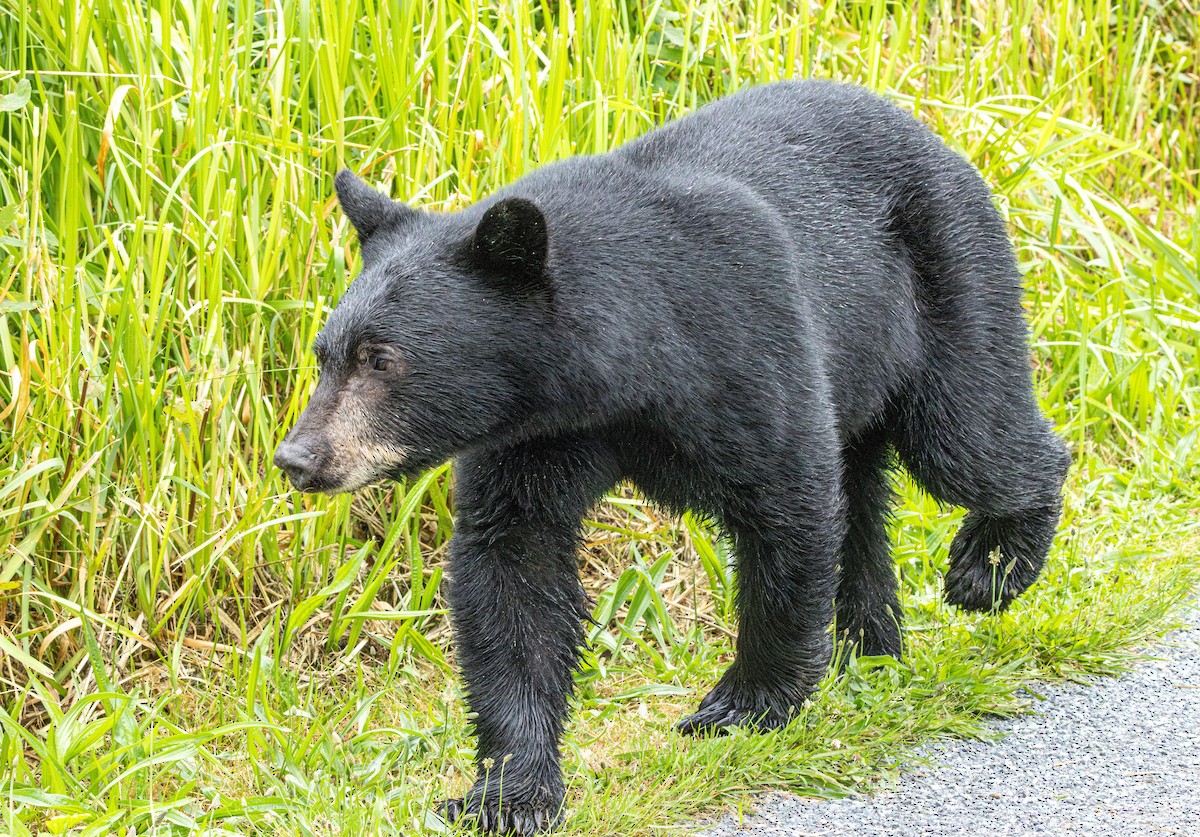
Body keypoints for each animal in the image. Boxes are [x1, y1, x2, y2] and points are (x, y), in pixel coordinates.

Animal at [273, 79, 1070, 834]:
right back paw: (867, 648)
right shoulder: (535, 439)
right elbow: (513, 570)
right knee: (866, 493)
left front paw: (740, 706)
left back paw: (990, 566)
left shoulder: (744, 343)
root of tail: (931, 134)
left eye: (382, 359)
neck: (618, 367)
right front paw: (508, 791)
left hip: (945, 275)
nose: (297, 457)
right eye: (323, 353)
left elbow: (788, 505)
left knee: (972, 434)